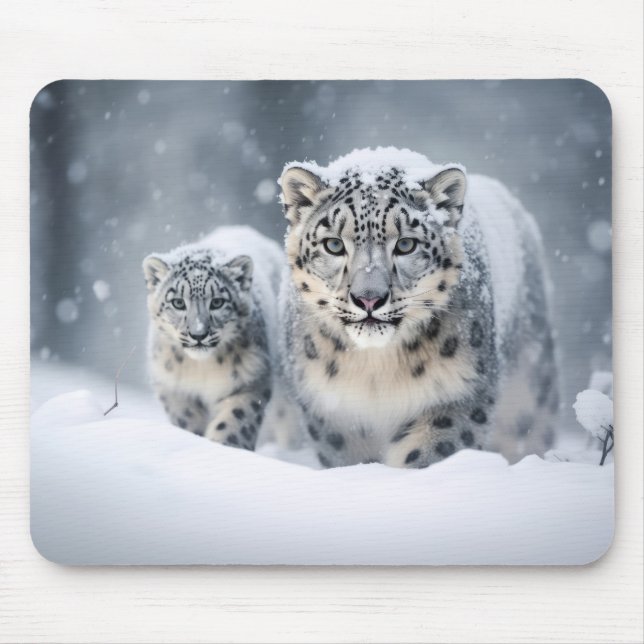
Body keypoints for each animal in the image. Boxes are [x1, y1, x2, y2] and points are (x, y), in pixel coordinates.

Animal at [278, 147, 559, 469]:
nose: (369, 298)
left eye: (406, 245)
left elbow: (430, 453)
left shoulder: (456, 395)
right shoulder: (332, 412)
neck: (373, 371)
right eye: (334, 245)